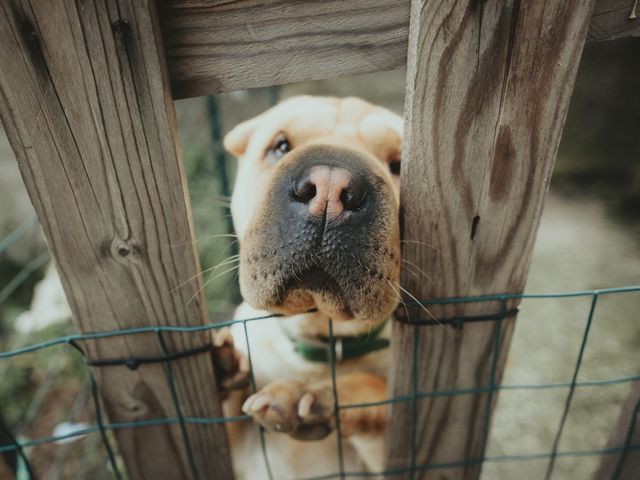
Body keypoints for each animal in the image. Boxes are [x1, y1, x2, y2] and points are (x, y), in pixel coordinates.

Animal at [216, 95, 404, 478]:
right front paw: (223, 366)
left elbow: (372, 389)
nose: (331, 187)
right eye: (280, 145)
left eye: (399, 164)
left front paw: (310, 395)